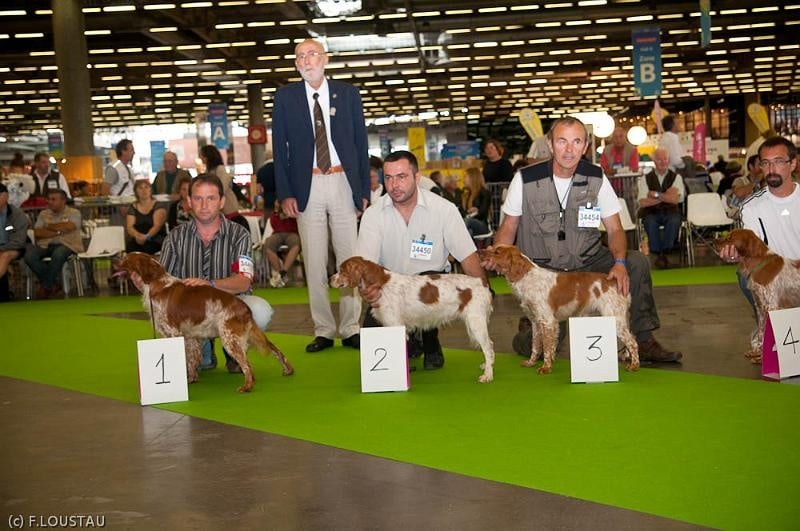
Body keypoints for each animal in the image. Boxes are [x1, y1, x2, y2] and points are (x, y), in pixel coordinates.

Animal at [116, 252, 293, 392]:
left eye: (126, 258)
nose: (115, 262)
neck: (157, 283)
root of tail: (244, 307)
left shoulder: (173, 332)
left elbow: (185, 359)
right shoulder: (189, 336)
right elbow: (192, 358)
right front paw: (191, 378)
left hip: (230, 338)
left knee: (247, 365)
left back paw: (247, 386)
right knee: (274, 348)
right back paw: (288, 370)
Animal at [330, 256, 496, 383]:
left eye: (342, 270)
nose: (329, 279)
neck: (381, 284)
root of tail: (481, 282)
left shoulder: (396, 326)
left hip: (476, 322)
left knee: (488, 348)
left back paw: (487, 375)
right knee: (490, 346)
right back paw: (486, 366)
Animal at [479, 245, 639, 374]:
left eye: (497, 252)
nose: (480, 251)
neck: (528, 278)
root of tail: (614, 282)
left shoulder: (548, 321)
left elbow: (547, 347)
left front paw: (545, 368)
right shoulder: (536, 322)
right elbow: (536, 345)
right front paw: (531, 362)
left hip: (615, 319)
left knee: (632, 342)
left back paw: (634, 366)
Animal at [715, 228, 800, 363]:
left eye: (730, 237)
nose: (713, 242)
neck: (760, 264)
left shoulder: (771, 306)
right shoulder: (760, 306)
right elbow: (761, 332)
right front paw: (758, 353)